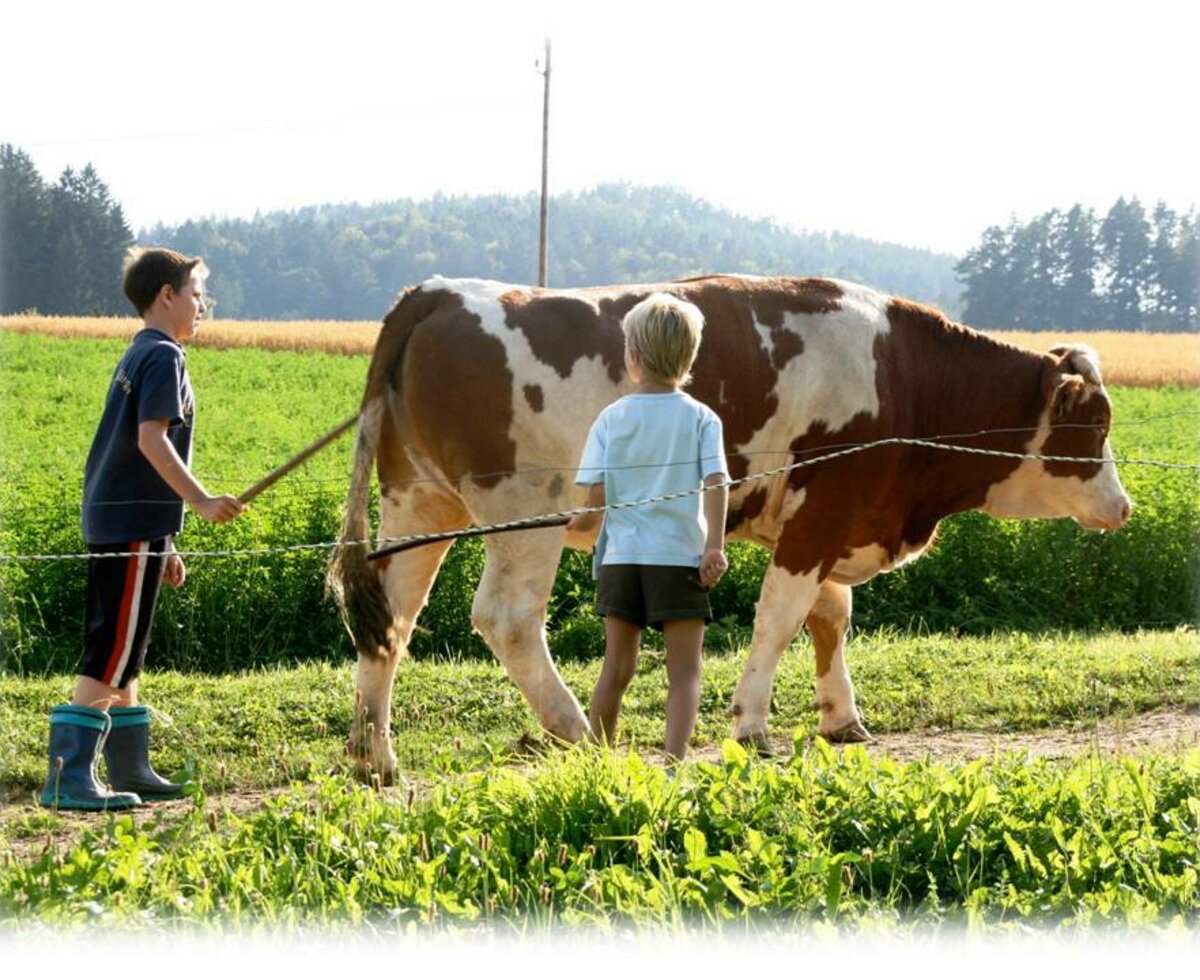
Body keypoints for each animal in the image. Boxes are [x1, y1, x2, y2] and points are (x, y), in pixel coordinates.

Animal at [326, 275, 1123, 782]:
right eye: (1093, 424)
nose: (1124, 507)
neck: (903, 374)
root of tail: (437, 293)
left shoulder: (814, 520)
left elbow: (831, 617)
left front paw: (841, 717)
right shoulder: (825, 510)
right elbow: (780, 620)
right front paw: (750, 724)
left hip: (420, 506)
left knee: (388, 620)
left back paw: (375, 758)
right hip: (525, 514)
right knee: (508, 619)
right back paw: (578, 732)